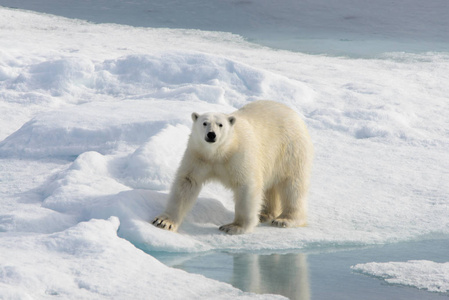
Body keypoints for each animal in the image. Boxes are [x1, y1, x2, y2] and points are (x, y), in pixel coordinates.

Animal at [150, 101, 312, 234]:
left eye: (220, 125)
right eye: (204, 123)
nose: (211, 135)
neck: (219, 152)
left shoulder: (239, 156)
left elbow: (247, 185)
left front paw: (233, 227)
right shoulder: (198, 156)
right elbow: (187, 183)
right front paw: (163, 222)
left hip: (290, 150)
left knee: (292, 186)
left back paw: (284, 219)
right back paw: (264, 214)